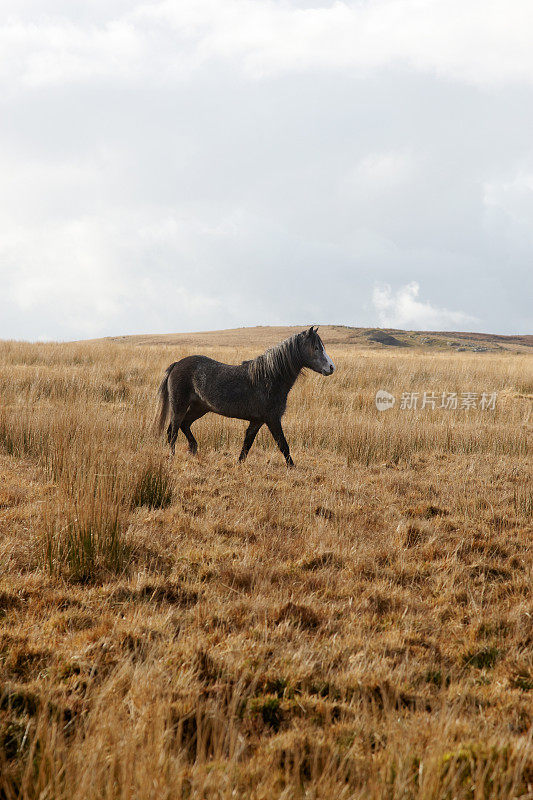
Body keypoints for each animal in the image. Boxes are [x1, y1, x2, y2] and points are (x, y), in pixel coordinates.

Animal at [156, 324, 334, 462]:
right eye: (316, 348)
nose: (331, 367)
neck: (269, 377)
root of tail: (177, 363)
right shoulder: (272, 419)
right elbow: (283, 445)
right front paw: (292, 468)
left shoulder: (257, 421)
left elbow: (246, 446)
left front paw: (238, 465)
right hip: (179, 406)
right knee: (173, 431)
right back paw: (172, 458)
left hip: (200, 408)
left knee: (184, 425)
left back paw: (193, 449)